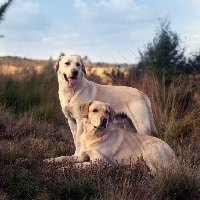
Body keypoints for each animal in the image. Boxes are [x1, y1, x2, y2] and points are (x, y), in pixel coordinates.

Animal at [44, 101, 177, 173]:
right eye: (94, 110)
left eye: (107, 112)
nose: (104, 120)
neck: (91, 136)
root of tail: (175, 157)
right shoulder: (81, 156)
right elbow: (63, 157)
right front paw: (49, 160)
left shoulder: (97, 162)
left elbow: (76, 165)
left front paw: (63, 168)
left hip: (147, 145)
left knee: (157, 173)